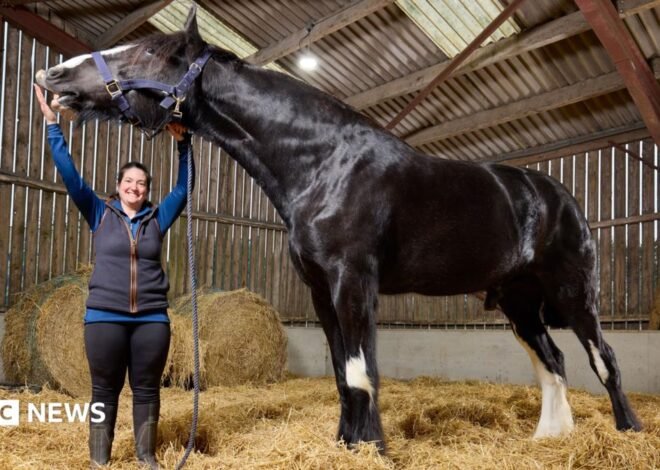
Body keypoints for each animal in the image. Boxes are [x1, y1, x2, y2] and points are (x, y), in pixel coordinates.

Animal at [35, 6, 641, 451]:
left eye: (149, 52)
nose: (53, 75)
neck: (324, 163)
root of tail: (558, 195)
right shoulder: (320, 290)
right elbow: (340, 371)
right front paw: (348, 443)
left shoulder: (354, 282)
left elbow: (360, 370)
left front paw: (373, 447)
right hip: (518, 302)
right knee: (553, 361)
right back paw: (550, 437)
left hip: (575, 293)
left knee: (604, 359)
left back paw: (627, 431)